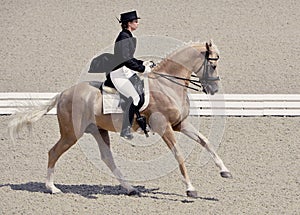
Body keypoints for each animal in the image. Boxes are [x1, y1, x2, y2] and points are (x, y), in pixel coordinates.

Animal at [7, 39, 232, 197]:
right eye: (213, 65)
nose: (214, 89)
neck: (167, 85)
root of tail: (63, 94)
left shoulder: (179, 124)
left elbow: (205, 141)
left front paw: (225, 171)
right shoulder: (164, 127)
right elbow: (178, 154)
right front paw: (190, 189)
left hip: (98, 130)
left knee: (107, 158)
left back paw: (130, 188)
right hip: (72, 133)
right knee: (53, 152)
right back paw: (52, 188)